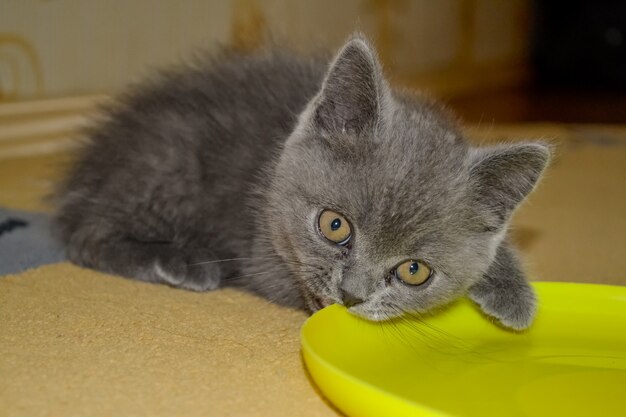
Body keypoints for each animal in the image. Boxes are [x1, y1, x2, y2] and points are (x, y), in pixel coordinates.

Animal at [56, 35, 548, 328]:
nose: (351, 295)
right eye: (334, 225)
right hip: (169, 159)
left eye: (414, 271)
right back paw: (181, 259)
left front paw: (512, 291)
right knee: (86, 237)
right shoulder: (262, 253)